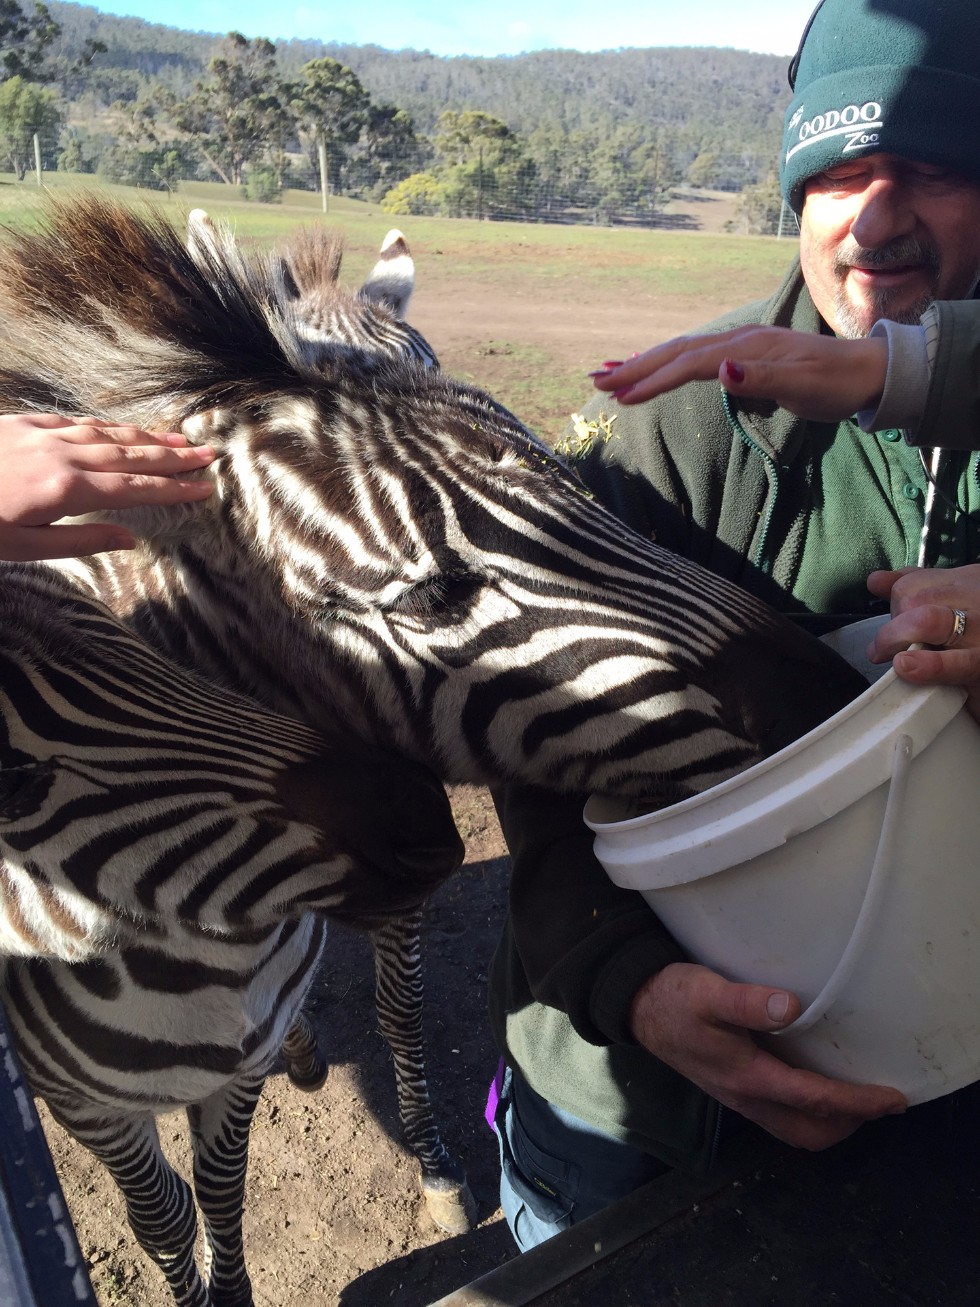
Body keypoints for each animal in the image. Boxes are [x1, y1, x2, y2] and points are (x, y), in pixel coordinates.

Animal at [0, 196, 867, 1307]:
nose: (824, 696)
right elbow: (166, 1214)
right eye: (430, 596)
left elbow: (391, 1017)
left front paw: (439, 1173)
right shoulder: (87, 1107)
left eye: (565, 472)